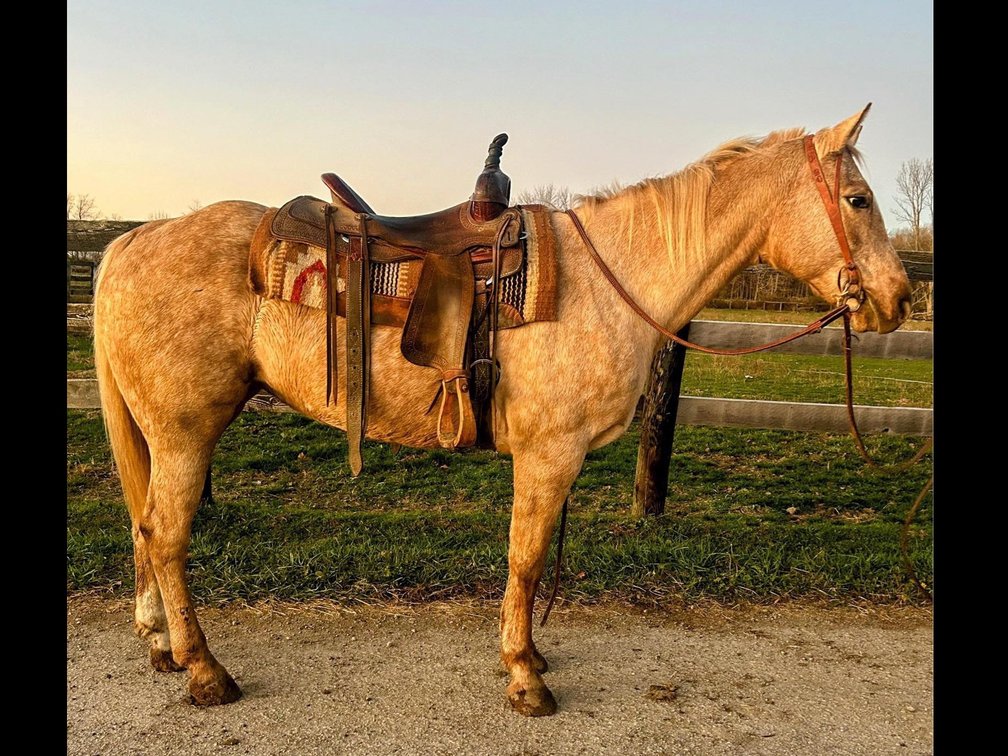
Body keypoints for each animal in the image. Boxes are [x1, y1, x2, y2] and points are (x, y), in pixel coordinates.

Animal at [92, 105, 911, 717]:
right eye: (858, 199)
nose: (898, 299)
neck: (610, 280)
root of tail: (134, 239)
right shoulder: (549, 454)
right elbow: (525, 558)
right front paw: (524, 675)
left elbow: (535, 558)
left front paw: (533, 656)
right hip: (185, 431)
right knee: (166, 537)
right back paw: (204, 670)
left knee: (145, 529)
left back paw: (163, 646)